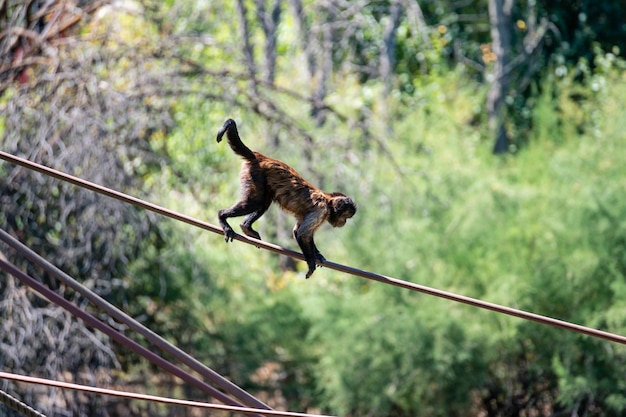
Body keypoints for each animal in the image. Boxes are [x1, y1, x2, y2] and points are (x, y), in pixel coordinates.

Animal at [216, 118, 356, 278]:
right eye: (346, 216)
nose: (344, 222)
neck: (327, 200)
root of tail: (260, 157)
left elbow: (297, 231)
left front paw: (318, 255)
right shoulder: (321, 211)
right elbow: (302, 234)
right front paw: (311, 262)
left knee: (264, 202)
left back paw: (246, 227)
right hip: (255, 174)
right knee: (256, 202)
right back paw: (222, 217)